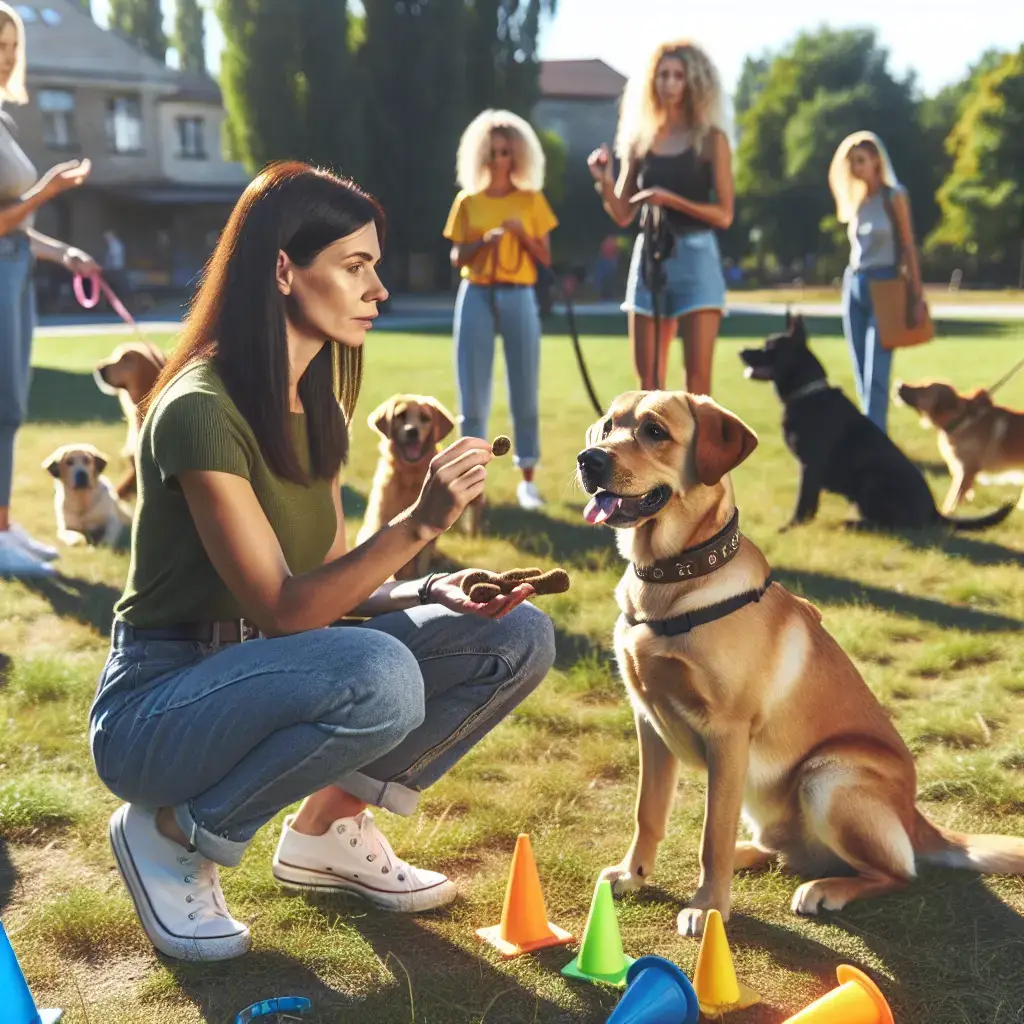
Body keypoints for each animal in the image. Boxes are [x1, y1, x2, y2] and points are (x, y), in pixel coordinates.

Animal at [888, 378, 1024, 512]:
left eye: (923, 388)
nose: (897, 384)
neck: (959, 419)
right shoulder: (960, 472)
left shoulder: (965, 471)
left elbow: (952, 503)